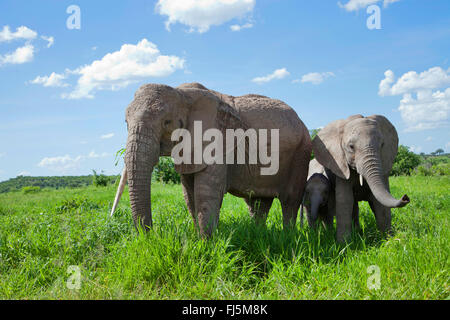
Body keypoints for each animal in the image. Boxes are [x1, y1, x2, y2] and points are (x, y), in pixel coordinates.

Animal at [110, 82, 312, 238]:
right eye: (126, 123)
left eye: (167, 122)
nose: (151, 238)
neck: (182, 94)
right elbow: (189, 194)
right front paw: (198, 240)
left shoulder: (217, 140)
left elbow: (206, 193)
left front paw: (206, 245)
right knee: (258, 203)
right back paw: (259, 235)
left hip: (301, 152)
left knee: (290, 200)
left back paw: (288, 237)